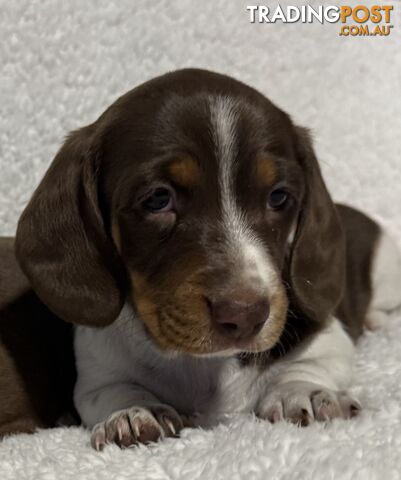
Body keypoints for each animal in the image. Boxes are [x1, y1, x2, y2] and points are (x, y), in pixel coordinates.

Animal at [3, 68, 400, 450]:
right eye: (158, 199)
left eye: (278, 197)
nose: (245, 314)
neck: (201, 364)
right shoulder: (97, 372)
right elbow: (113, 392)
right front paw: (133, 412)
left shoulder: (329, 339)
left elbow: (308, 365)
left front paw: (303, 393)